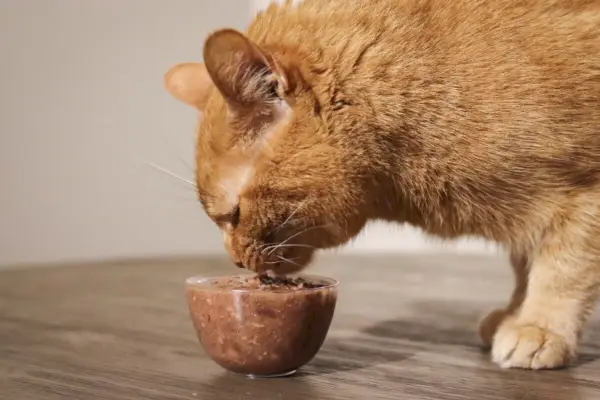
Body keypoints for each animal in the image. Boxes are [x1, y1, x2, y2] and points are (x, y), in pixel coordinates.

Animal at [164, 0, 600, 370]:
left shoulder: (579, 194)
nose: (235, 260)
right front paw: (514, 312)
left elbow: (560, 269)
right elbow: (523, 265)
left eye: (233, 214)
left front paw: (539, 326)